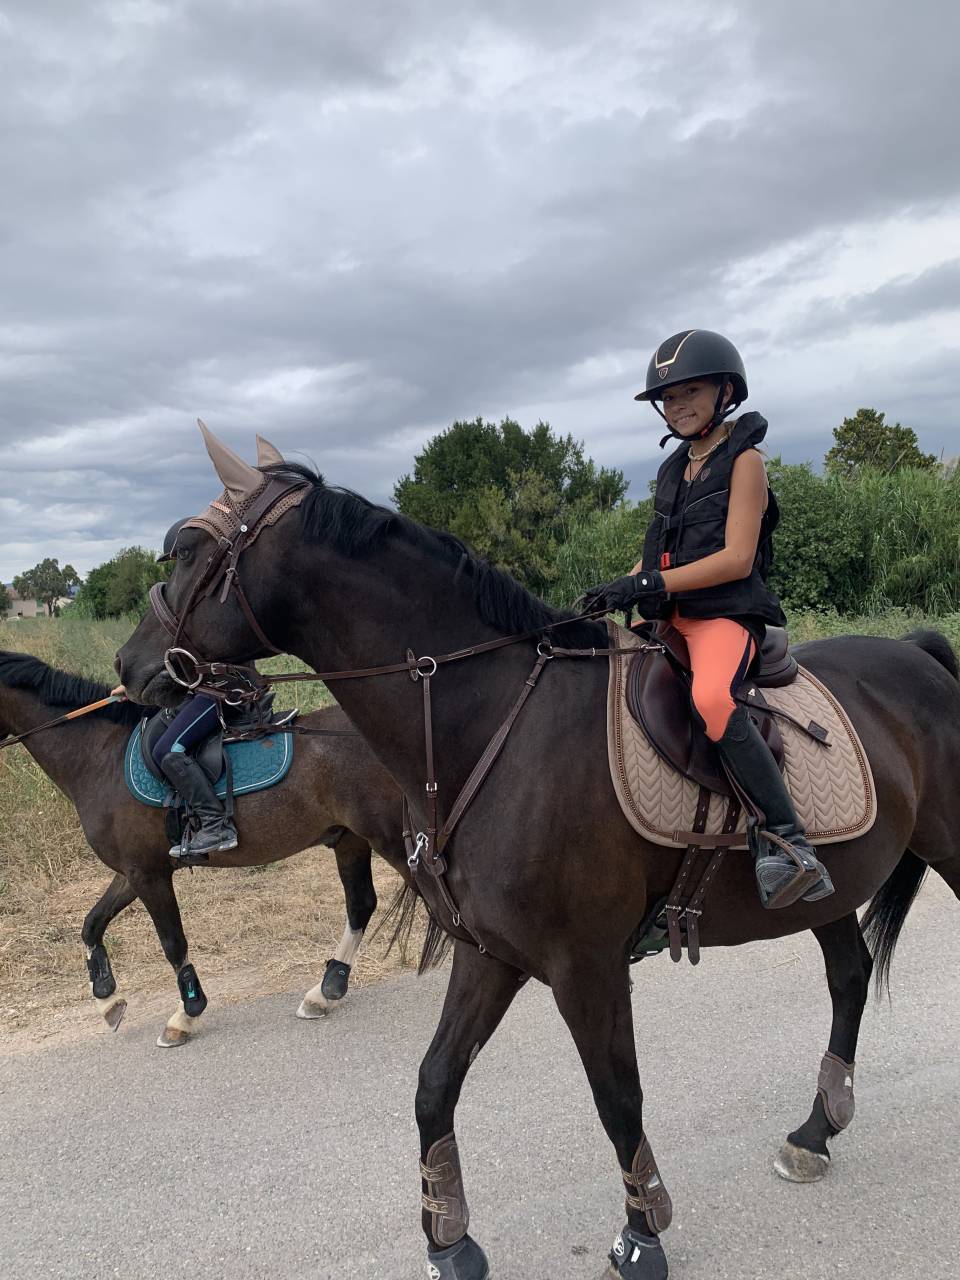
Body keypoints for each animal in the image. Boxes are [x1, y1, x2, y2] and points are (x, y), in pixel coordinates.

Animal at [0, 650, 410, 1048]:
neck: (100, 758)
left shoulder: (148, 875)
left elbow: (172, 942)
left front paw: (186, 1015)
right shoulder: (133, 871)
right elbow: (91, 924)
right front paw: (107, 999)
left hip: (387, 837)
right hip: (350, 839)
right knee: (360, 904)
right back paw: (325, 991)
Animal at [116, 428, 960, 1279]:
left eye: (187, 550)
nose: (129, 666)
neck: (494, 723)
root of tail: (918, 655)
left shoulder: (585, 964)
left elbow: (618, 1097)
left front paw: (642, 1236)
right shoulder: (490, 952)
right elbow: (434, 1084)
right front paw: (449, 1238)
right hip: (828, 888)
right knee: (849, 977)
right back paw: (816, 1131)